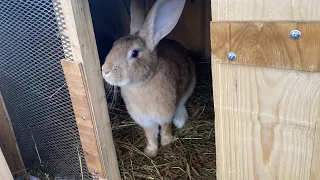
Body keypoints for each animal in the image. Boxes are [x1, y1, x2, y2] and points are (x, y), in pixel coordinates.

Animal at [102, 0, 198, 157]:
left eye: (134, 53)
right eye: (115, 45)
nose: (105, 70)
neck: (142, 84)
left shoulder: (164, 114)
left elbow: (165, 128)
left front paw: (166, 142)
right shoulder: (145, 120)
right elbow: (150, 135)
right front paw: (150, 151)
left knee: (181, 104)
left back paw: (179, 120)